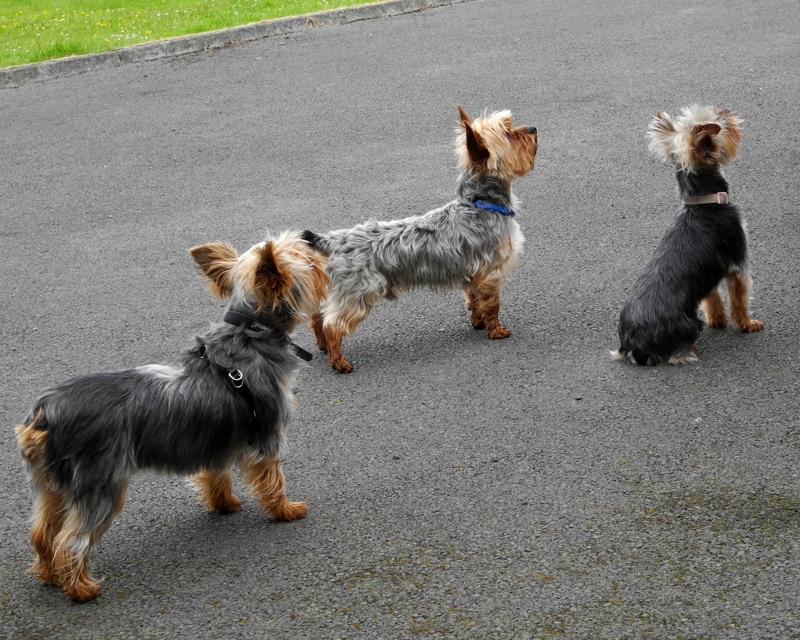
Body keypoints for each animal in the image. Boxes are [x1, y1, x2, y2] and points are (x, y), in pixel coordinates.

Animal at [15, 232, 328, 604]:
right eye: (305, 260)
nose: (314, 244)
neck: (251, 333)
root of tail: (45, 413)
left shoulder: (215, 437)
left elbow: (216, 474)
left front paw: (223, 504)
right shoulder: (267, 434)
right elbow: (273, 479)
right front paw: (285, 510)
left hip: (52, 482)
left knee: (42, 531)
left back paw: (50, 574)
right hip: (101, 481)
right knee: (71, 539)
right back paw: (81, 588)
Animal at [304, 107, 540, 372]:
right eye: (508, 134)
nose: (533, 129)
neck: (480, 204)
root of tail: (332, 241)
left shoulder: (473, 272)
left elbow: (473, 299)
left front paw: (477, 322)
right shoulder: (491, 272)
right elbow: (492, 304)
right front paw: (496, 330)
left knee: (318, 316)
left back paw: (323, 346)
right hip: (359, 292)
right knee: (332, 324)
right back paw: (339, 361)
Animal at [616, 105, 764, 364]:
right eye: (720, 121)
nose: (726, 110)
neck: (704, 203)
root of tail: (631, 342)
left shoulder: (710, 271)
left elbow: (712, 298)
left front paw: (717, 320)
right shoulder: (738, 263)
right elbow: (740, 299)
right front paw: (747, 324)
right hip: (688, 327)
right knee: (678, 353)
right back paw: (691, 351)